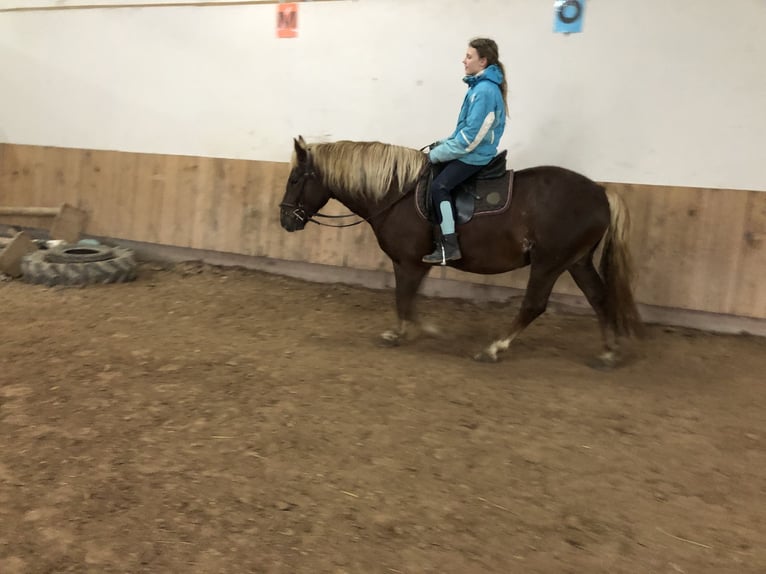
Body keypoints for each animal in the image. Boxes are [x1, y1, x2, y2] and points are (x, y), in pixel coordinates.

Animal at [279, 136, 642, 367]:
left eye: (296, 178)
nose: (285, 219)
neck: (397, 194)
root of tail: (601, 193)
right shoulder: (417, 264)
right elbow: (409, 299)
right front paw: (416, 329)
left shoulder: (408, 262)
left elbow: (403, 298)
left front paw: (409, 332)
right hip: (576, 261)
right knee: (598, 297)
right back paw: (609, 352)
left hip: (549, 262)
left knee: (534, 305)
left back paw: (494, 349)